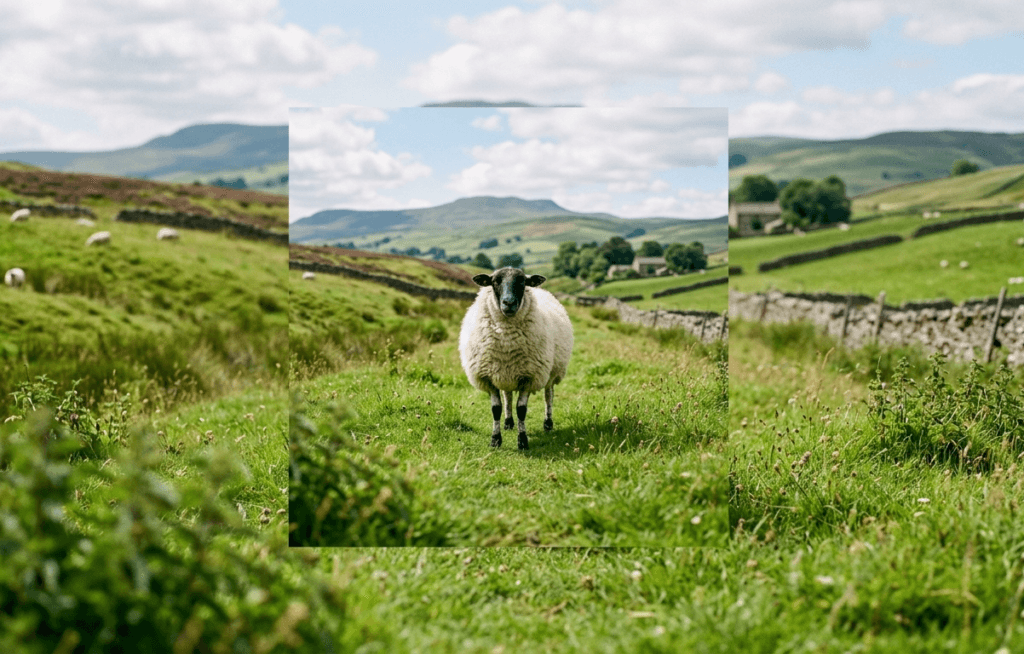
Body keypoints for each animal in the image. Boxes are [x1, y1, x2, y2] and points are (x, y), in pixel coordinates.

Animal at [458, 267, 573, 450]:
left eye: (522, 281)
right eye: (495, 281)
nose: (509, 303)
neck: (506, 338)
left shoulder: (529, 376)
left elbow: (522, 410)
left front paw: (523, 440)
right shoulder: (488, 377)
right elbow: (496, 409)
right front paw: (495, 439)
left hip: (551, 372)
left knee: (548, 396)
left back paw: (548, 423)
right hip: (506, 372)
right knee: (507, 395)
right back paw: (508, 422)